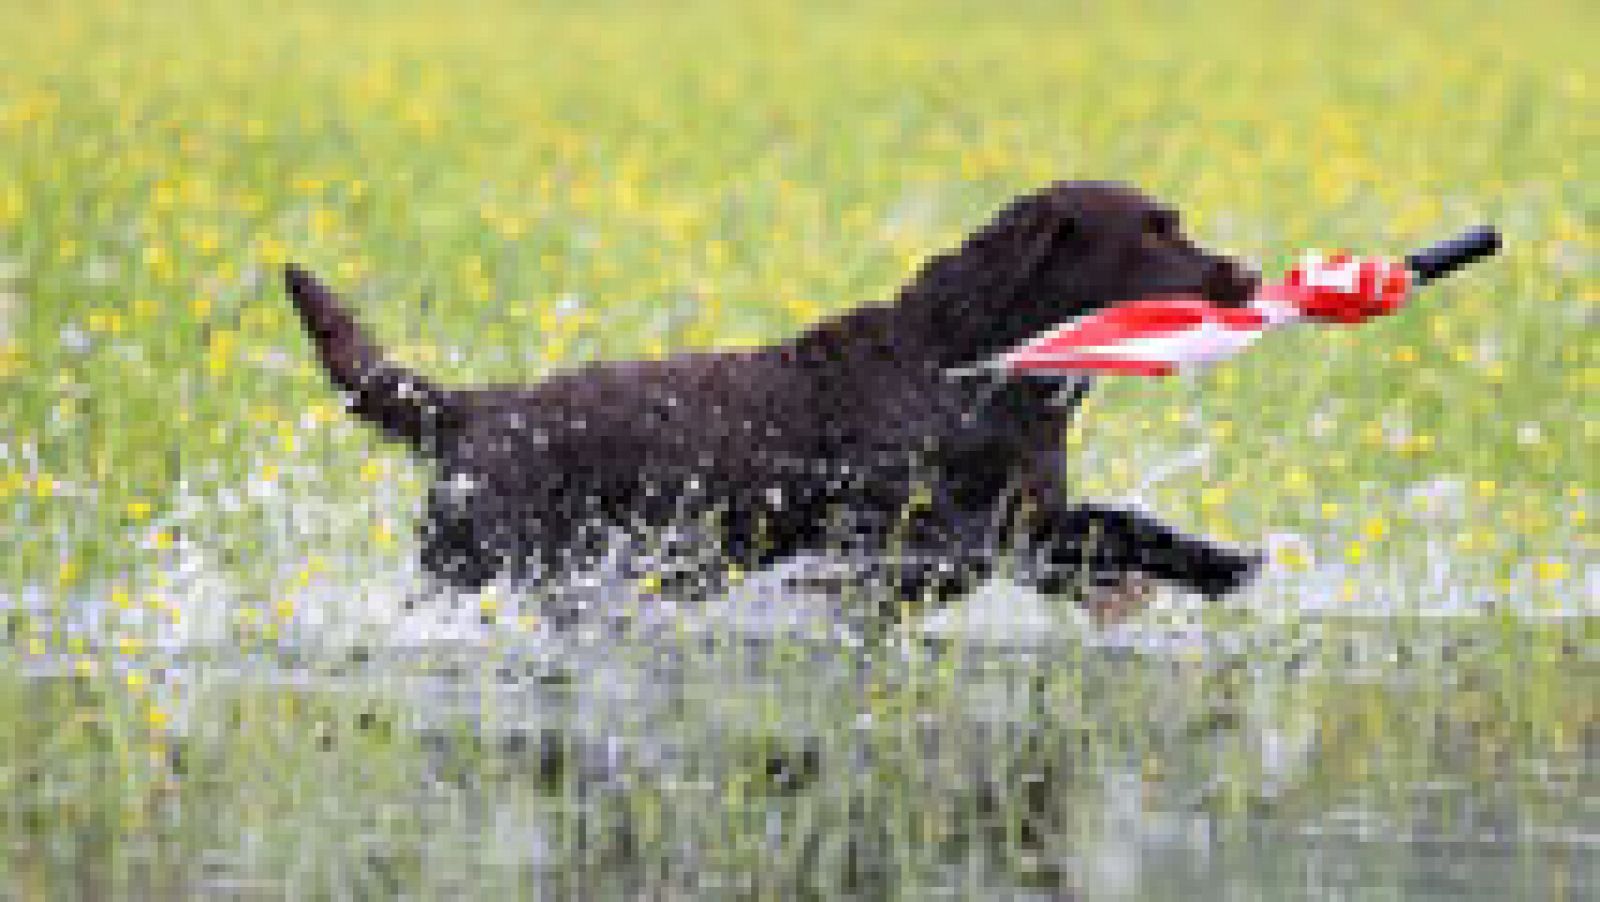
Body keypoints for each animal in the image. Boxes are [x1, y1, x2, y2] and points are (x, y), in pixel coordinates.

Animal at [288, 181, 1260, 620]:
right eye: (1152, 233)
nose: (1247, 273)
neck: (970, 373)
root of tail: (474, 408)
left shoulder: (1031, 515)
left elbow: (1122, 524)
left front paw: (1221, 565)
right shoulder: (921, 534)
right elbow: (974, 556)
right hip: (495, 568)